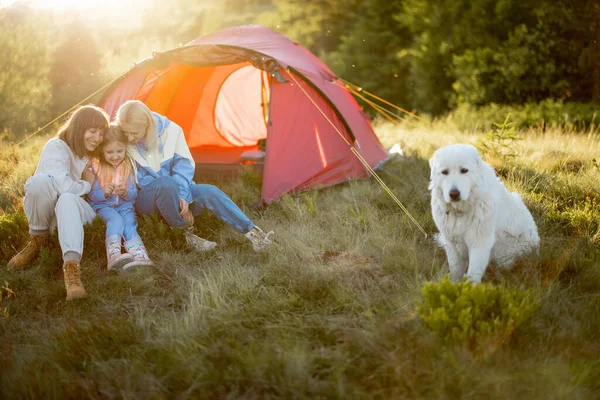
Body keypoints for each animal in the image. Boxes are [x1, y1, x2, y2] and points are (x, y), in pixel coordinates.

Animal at [426, 143, 540, 282]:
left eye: (464, 170)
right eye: (444, 172)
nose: (454, 194)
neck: (461, 211)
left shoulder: (479, 243)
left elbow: (473, 273)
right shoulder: (452, 243)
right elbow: (455, 270)